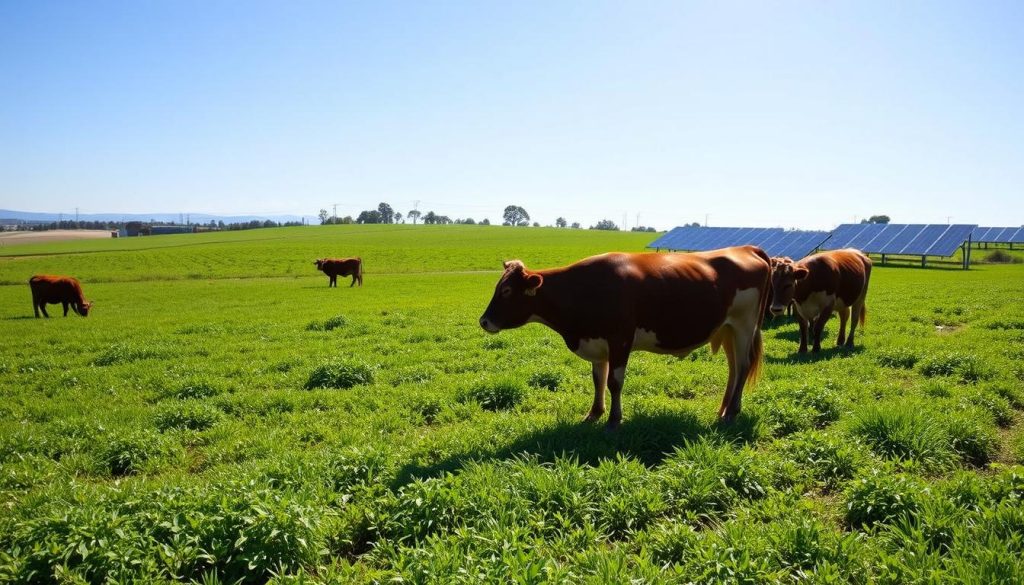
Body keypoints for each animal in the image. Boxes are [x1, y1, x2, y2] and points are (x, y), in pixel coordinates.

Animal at [479, 244, 770, 428]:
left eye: (506, 291)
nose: (483, 321)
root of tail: (746, 248)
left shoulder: (620, 339)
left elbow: (614, 382)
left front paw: (614, 420)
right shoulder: (596, 342)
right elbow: (598, 379)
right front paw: (594, 414)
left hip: (745, 325)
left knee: (743, 366)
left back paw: (731, 413)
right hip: (727, 328)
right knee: (733, 368)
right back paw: (723, 409)